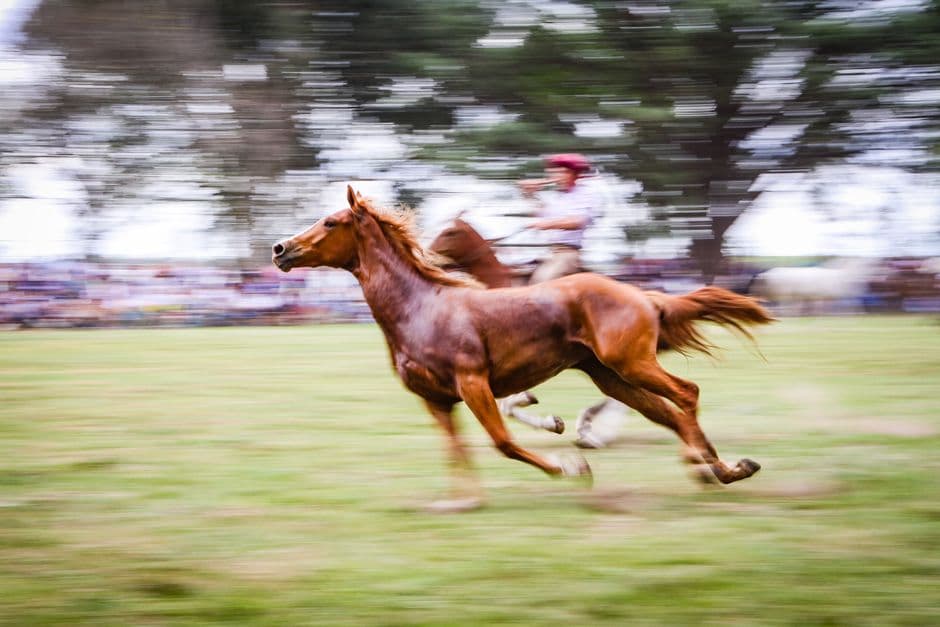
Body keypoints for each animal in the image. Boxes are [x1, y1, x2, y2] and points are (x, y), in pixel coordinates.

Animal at [429, 217, 629, 448]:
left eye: (449, 232)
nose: (428, 255)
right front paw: (551, 420)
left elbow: (508, 406)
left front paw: (547, 419)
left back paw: (596, 434)